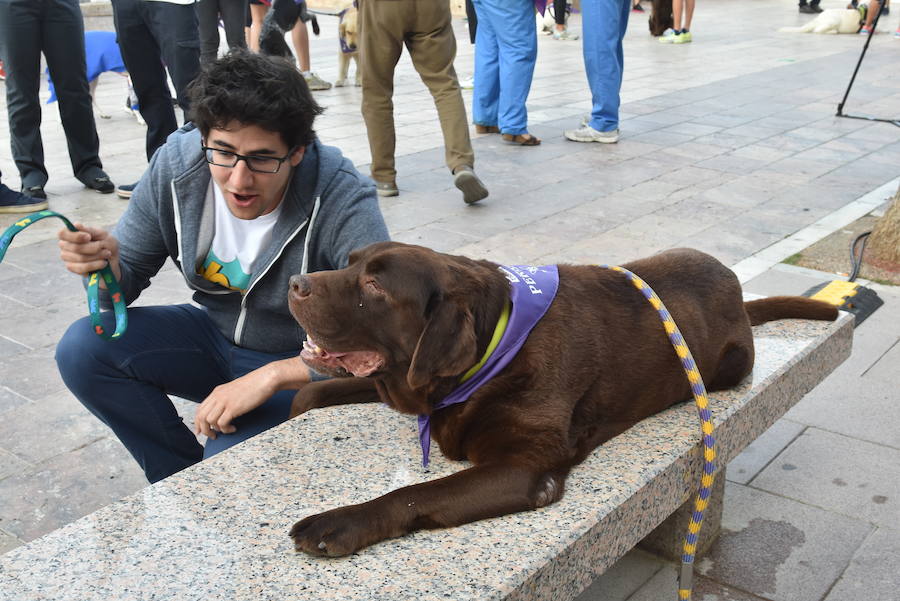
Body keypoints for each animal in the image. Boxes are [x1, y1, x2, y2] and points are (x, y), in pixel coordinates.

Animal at [286, 241, 836, 556]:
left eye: (375, 286)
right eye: (350, 264)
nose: (295, 282)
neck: (494, 348)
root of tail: (736, 287)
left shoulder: (526, 466)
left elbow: (414, 493)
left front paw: (340, 522)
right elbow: (313, 389)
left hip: (729, 367)